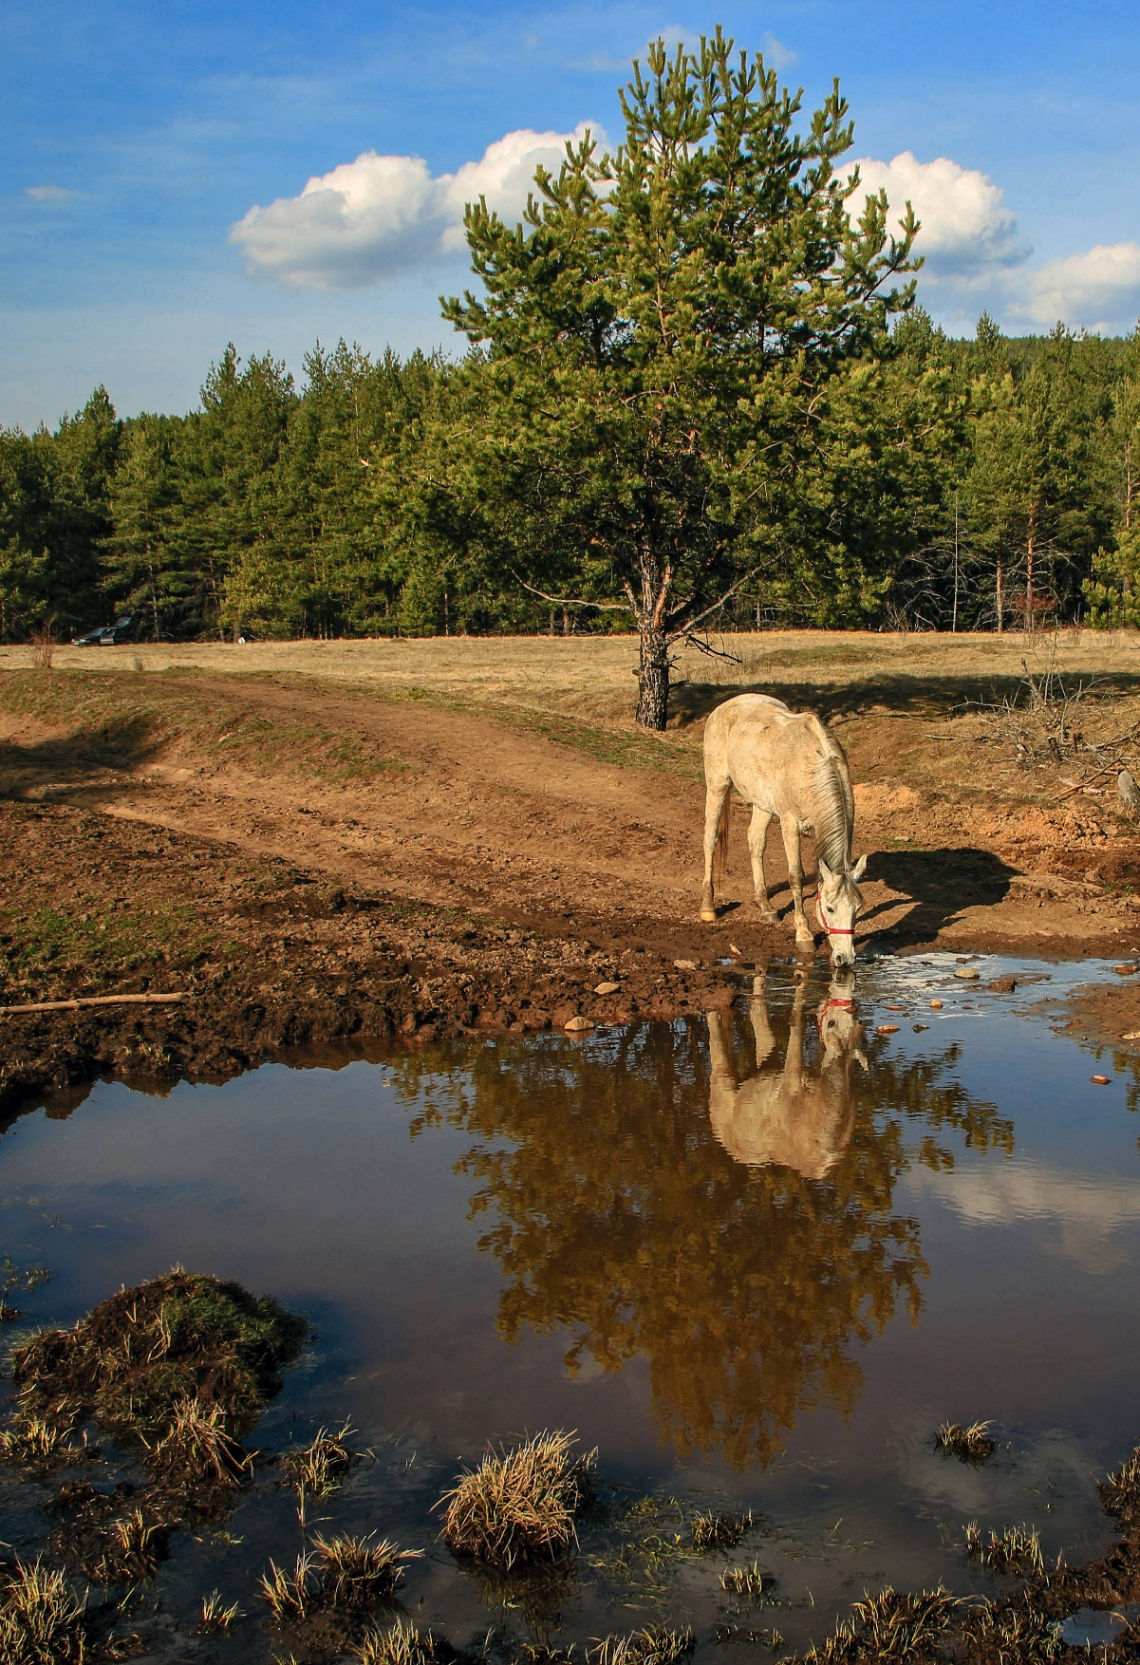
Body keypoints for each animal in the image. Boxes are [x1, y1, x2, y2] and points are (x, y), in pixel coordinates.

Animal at [698, 695, 865, 972]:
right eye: (829, 909)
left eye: (857, 909)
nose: (846, 958)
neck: (811, 767)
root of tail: (726, 705)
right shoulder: (789, 823)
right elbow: (796, 877)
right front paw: (804, 935)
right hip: (718, 784)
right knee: (710, 839)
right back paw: (708, 908)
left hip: (762, 803)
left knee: (755, 841)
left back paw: (766, 907)